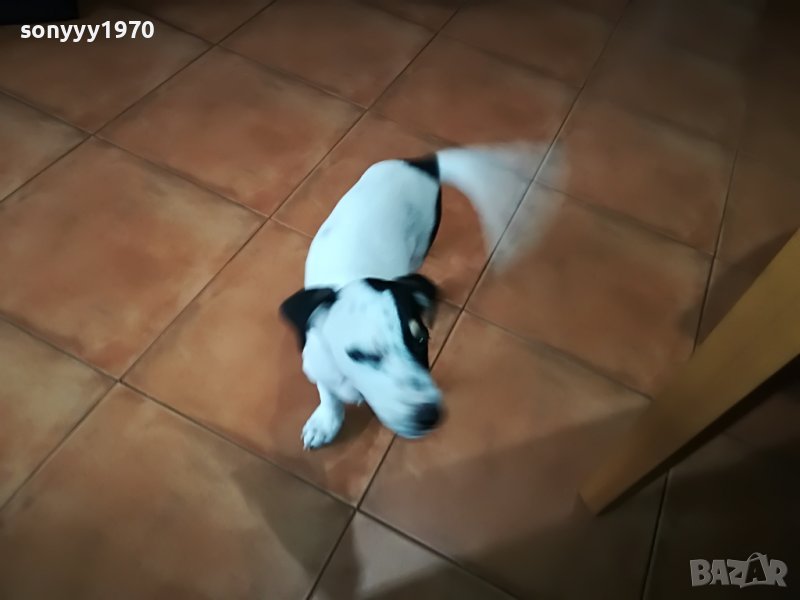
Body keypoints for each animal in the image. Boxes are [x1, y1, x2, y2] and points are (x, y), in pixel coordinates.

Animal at [280, 144, 535, 449]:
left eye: (422, 338)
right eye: (362, 354)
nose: (430, 416)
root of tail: (420, 163)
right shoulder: (317, 362)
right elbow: (328, 393)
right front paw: (326, 422)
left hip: (423, 238)